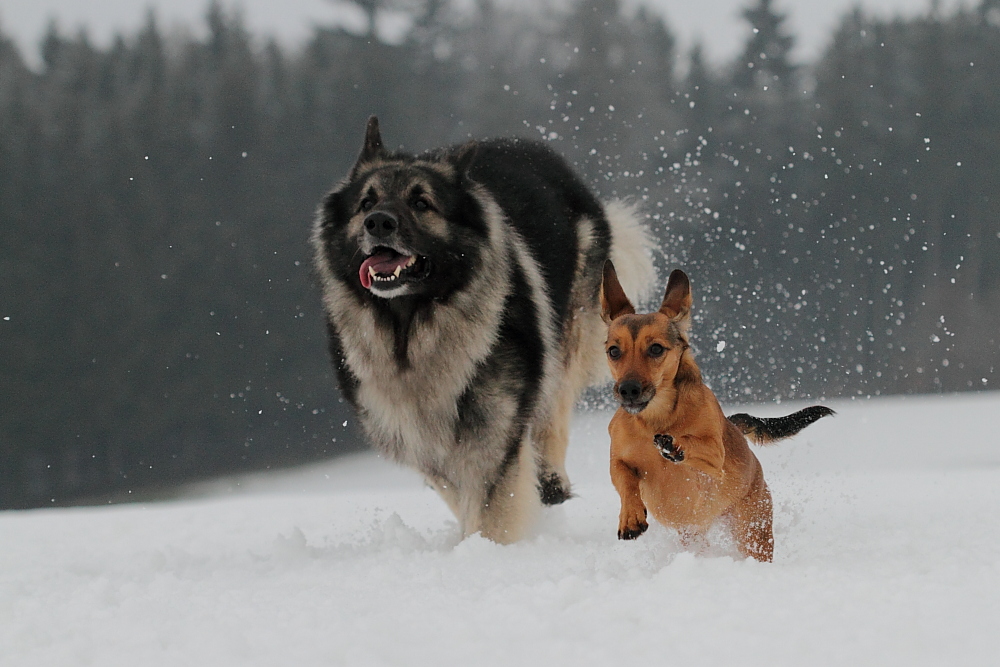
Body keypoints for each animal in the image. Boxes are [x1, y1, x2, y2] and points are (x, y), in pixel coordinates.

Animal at [314, 118, 656, 544]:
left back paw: (551, 481)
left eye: (421, 203)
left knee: (554, 404)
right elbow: (456, 491)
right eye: (365, 202)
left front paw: (487, 549)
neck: (411, 326)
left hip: (569, 330)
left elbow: (493, 507)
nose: (378, 222)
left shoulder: (494, 433)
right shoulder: (417, 436)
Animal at [600, 262, 828, 564]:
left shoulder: (715, 457)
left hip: (751, 528)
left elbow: (697, 444)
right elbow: (625, 481)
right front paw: (630, 517)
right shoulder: (619, 460)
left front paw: (674, 445)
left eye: (656, 348)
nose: (628, 390)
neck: (656, 418)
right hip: (694, 535)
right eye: (614, 351)